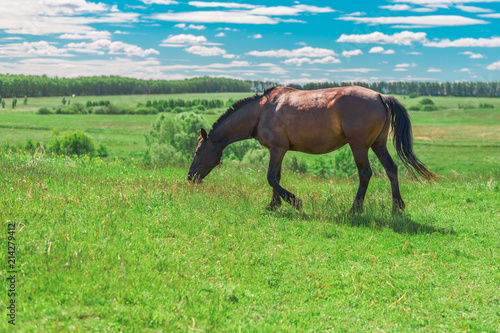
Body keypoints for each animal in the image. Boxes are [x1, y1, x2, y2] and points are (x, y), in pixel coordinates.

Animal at [188, 86, 438, 213]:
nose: (190, 177)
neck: (260, 111)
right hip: (378, 144)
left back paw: (355, 209)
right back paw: (397, 207)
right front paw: (274, 204)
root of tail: (379, 95)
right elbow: (276, 177)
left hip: (359, 146)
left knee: (365, 174)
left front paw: (294, 201)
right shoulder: (279, 151)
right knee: (391, 169)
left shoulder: (277, 149)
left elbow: (271, 177)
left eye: (198, 152)